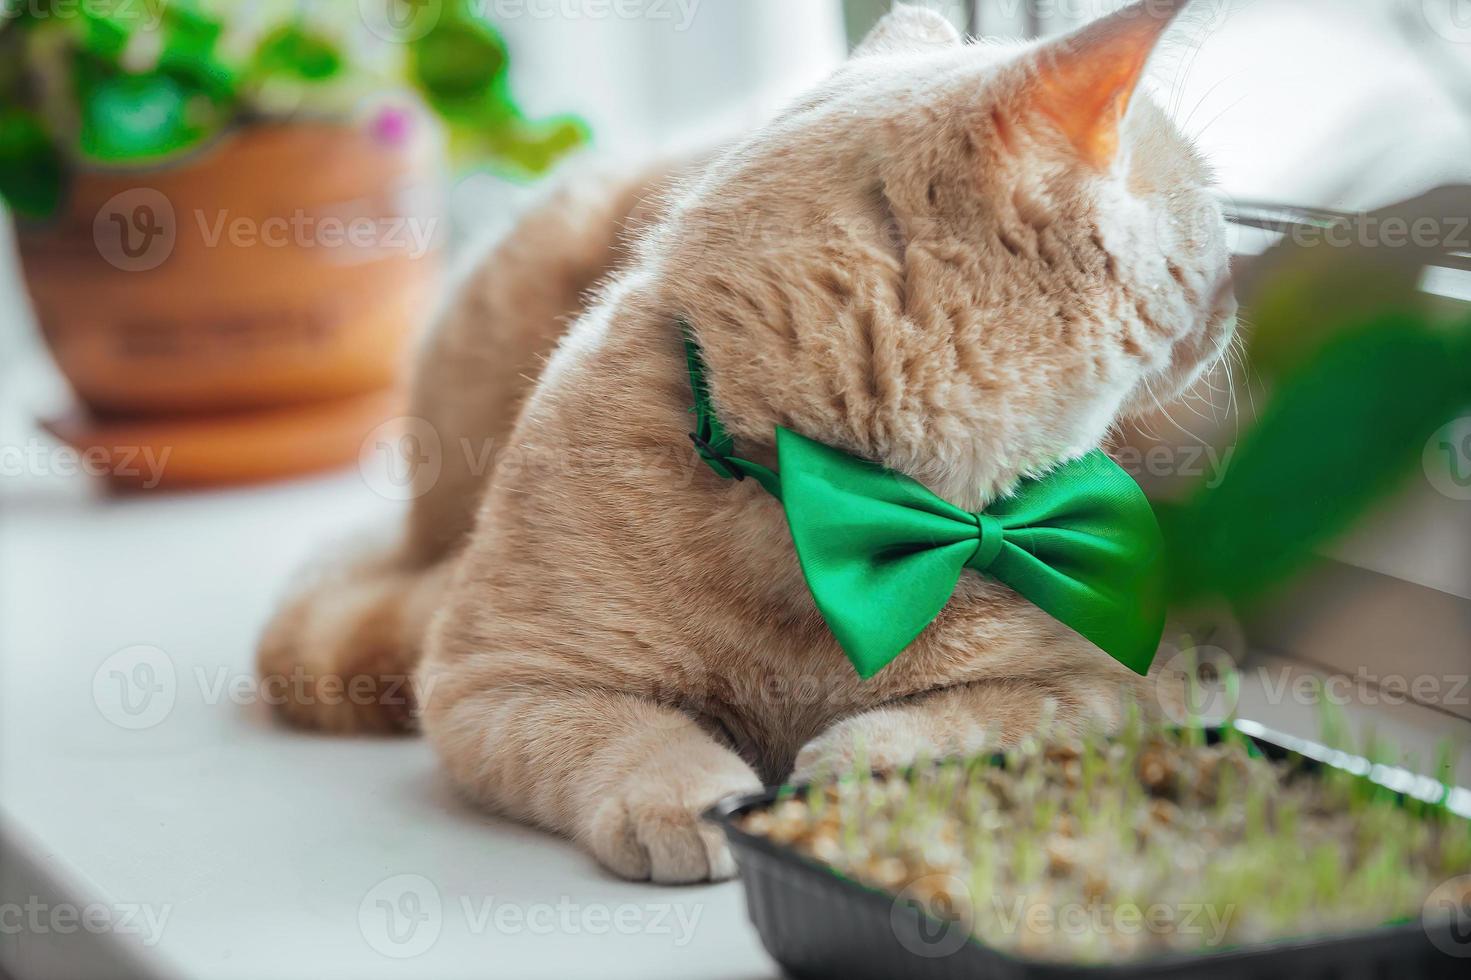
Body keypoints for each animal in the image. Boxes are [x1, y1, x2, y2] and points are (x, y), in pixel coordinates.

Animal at [258, 0, 1235, 882]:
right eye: (1213, 222)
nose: (1234, 290)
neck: (824, 516)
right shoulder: (496, 678)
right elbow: (622, 733)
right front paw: (690, 796)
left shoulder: (1110, 685)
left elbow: (961, 722)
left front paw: (851, 769)